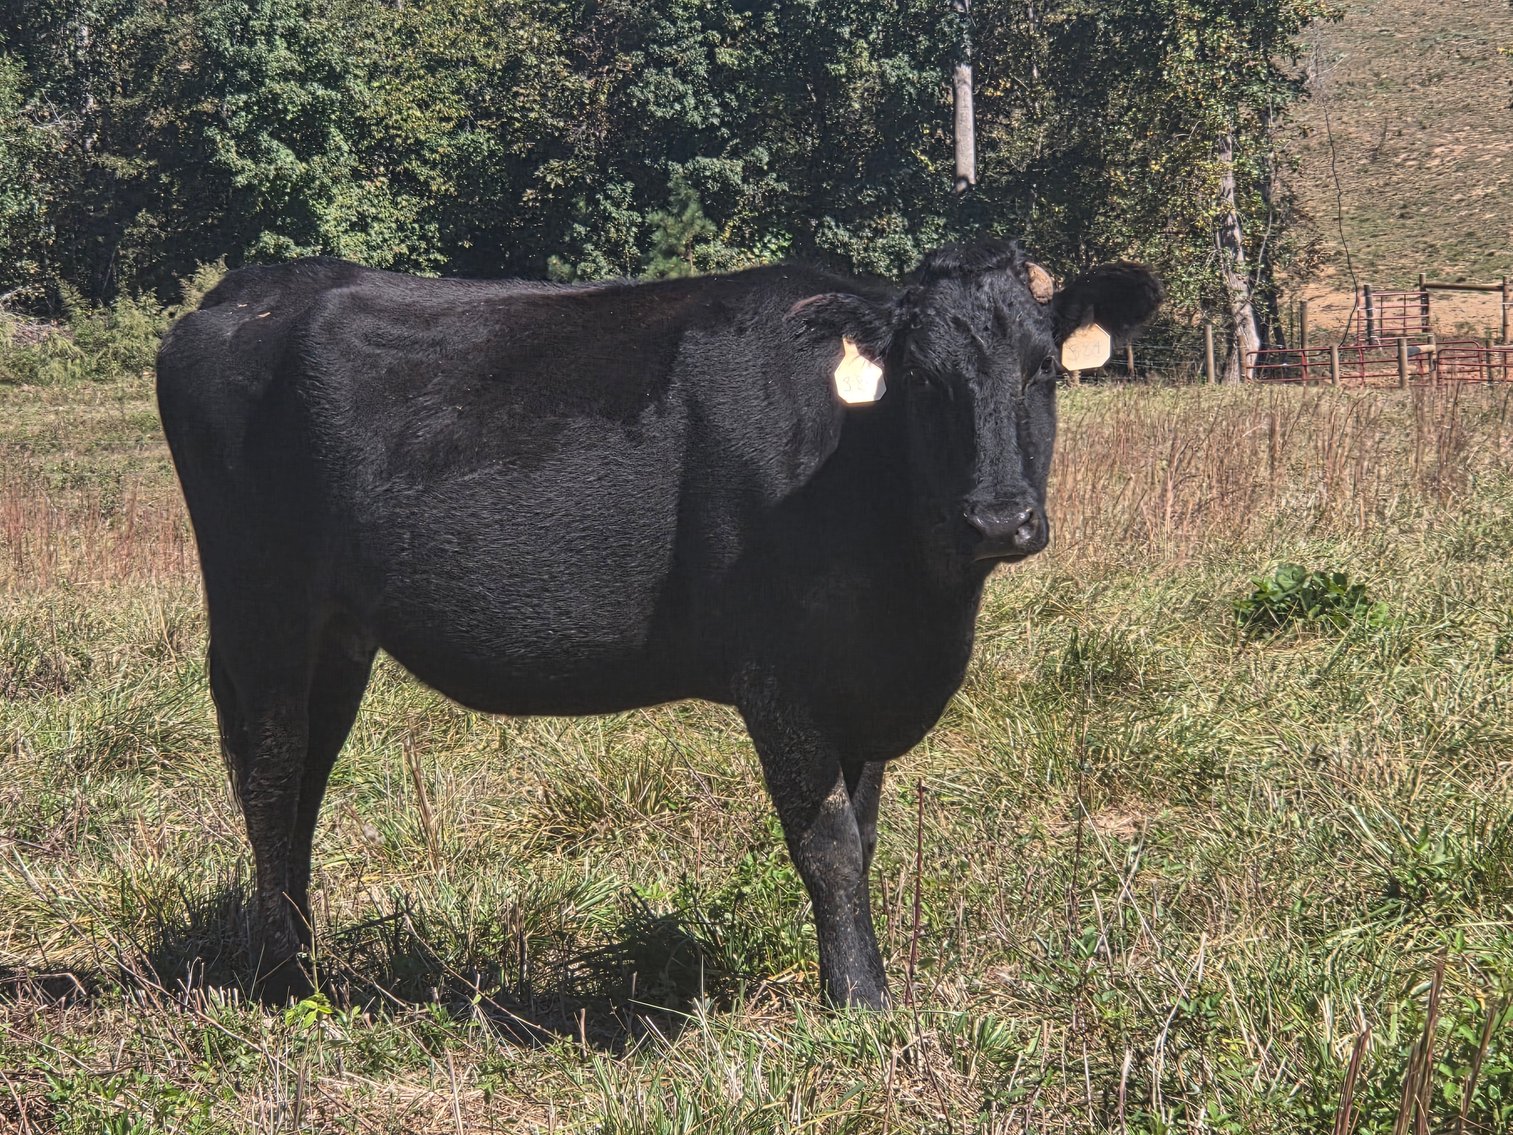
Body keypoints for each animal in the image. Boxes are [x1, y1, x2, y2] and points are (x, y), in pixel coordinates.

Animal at [155, 240, 1162, 1009]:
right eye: (920, 378)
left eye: (1041, 370)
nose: (997, 518)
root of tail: (250, 287)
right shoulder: (779, 677)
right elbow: (829, 845)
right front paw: (861, 1003)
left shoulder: (862, 679)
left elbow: (864, 833)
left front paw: (853, 978)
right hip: (262, 606)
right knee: (271, 769)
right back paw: (283, 979)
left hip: (337, 631)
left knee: (306, 774)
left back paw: (305, 952)